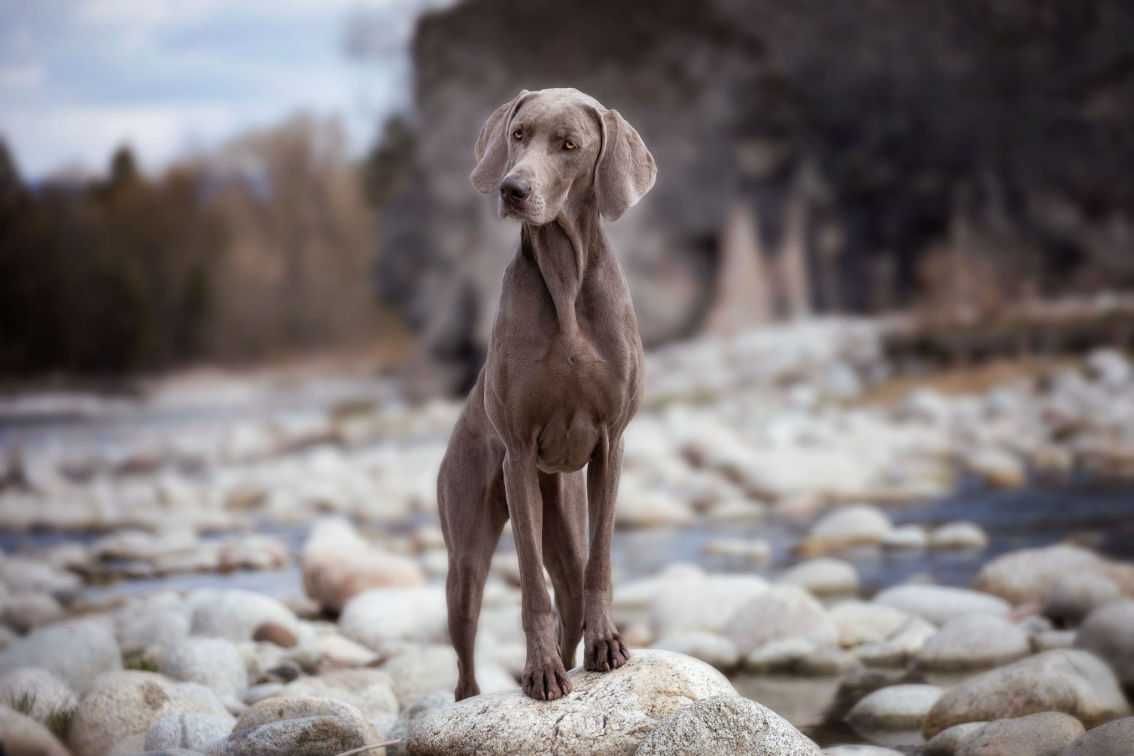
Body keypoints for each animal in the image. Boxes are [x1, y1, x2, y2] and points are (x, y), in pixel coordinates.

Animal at [437, 88, 662, 702]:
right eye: (519, 135)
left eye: (569, 145)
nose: (513, 188)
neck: (564, 278)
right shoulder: (517, 454)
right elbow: (530, 585)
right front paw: (539, 671)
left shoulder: (611, 446)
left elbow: (600, 564)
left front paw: (606, 645)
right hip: (466, 555)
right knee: (466, 660)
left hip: (565, 508)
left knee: (571, 590)